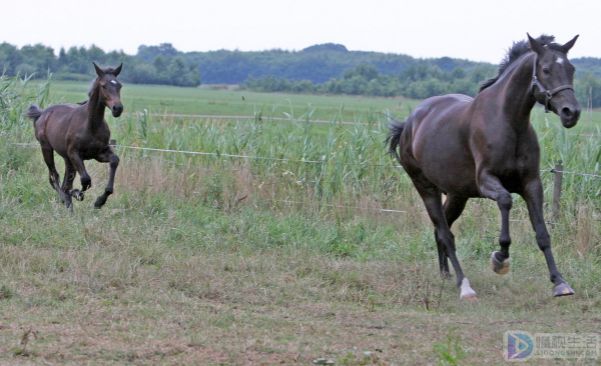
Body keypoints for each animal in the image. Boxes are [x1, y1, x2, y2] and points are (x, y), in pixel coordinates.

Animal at [26, 62, 122, 210]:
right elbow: (86, 180)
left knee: (66, 181)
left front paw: (99, 201)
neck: (91, 125)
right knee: (54, 177)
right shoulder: (75, 153)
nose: (118, 108)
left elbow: (114, 160)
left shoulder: (99, 153)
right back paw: (66, 199)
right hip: (46, 147)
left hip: (67, 158)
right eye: (103, 86)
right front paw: (77, 193)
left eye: (119, 86)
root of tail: (42, 113)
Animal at [386, 35, 580, 302]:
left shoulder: (531, 184)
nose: (571, 112)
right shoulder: (487, 181)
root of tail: (409, 124)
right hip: (426, 188)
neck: (509, 122)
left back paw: (446, 275)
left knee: (441, 230)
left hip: (457, 195)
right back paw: (464, 286)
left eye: (571, 69)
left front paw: (560, 283)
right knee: (445, 234)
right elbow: (506, 202)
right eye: (546, 69)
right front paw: (500, 260)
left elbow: (542, 233)